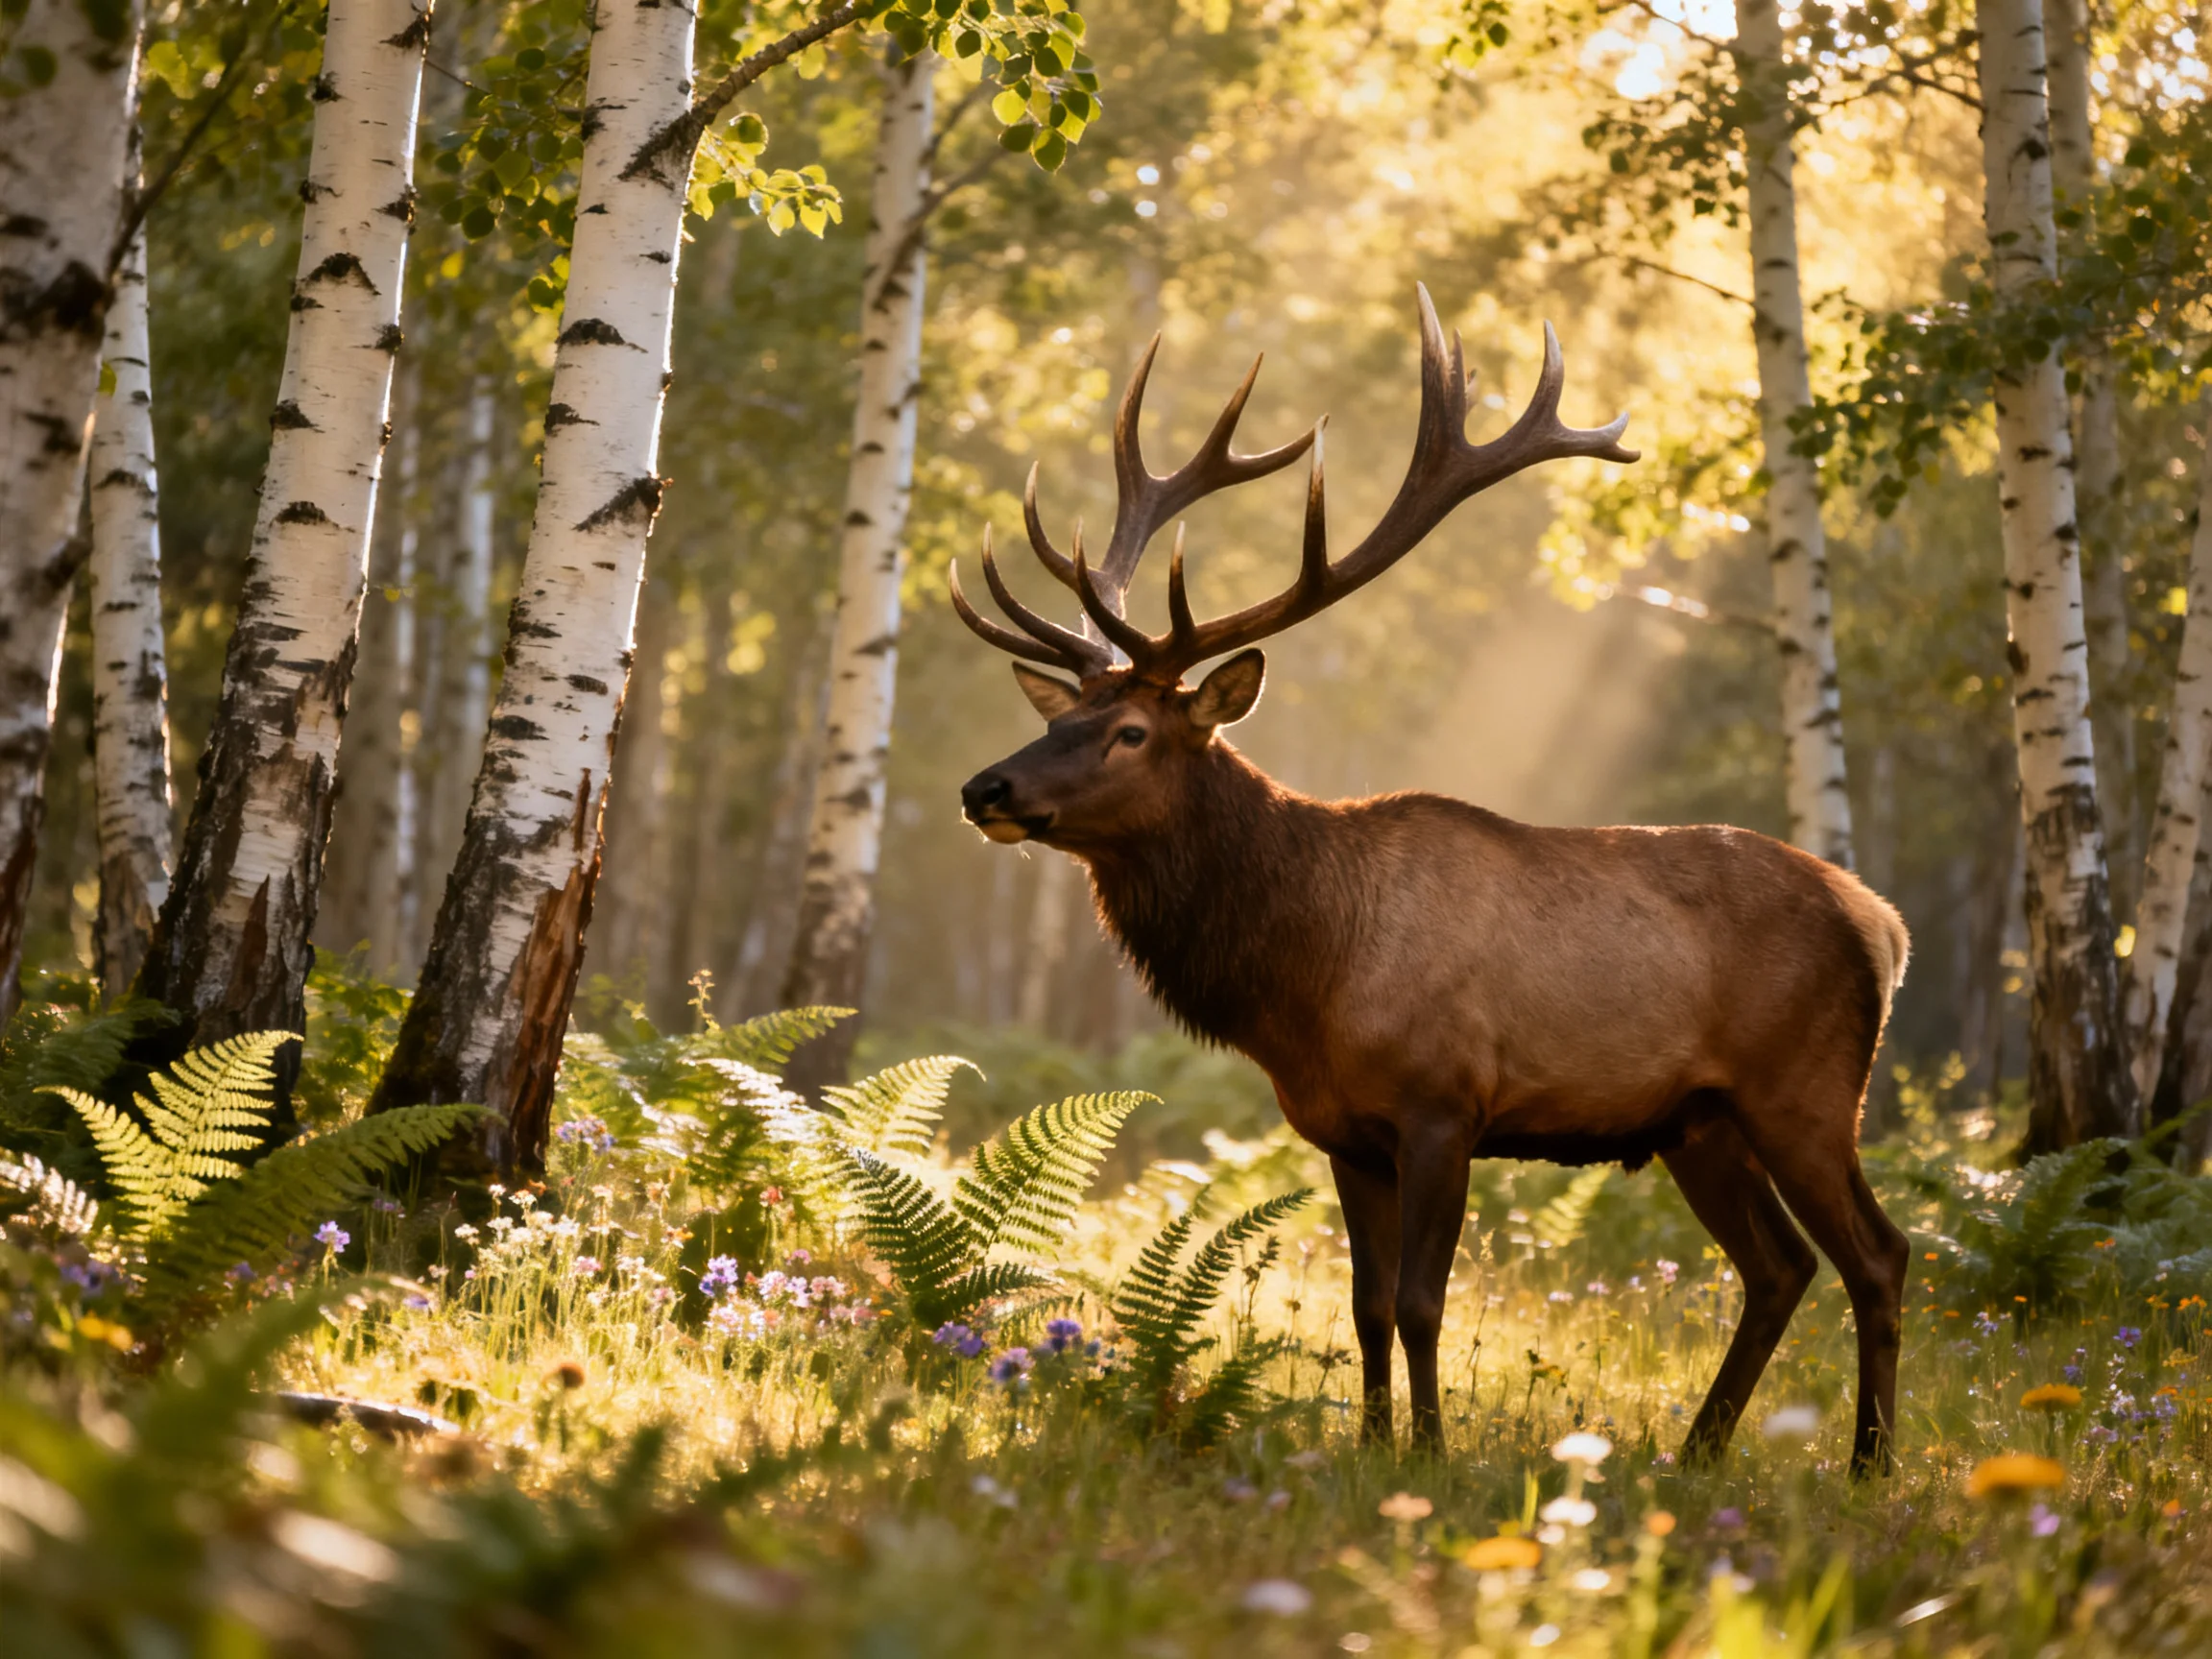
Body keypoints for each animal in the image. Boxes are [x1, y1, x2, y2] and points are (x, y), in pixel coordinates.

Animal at [950, 287, 1912, 1474]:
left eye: (1130, 731)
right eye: (1061, 718)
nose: (983, 786)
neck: (1302, 977)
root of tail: (1880, 921)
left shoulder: (1444, 1103)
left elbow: (1420, 1302)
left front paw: (1432, 1457)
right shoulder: (1345, 1134)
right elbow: (1366, 1306)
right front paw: (1372, 1450)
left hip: (1809, 1090)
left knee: (1878, 1253)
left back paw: (1869, 1465)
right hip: (1701, 1121)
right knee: (1780, 1266)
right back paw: (1697, 1454)